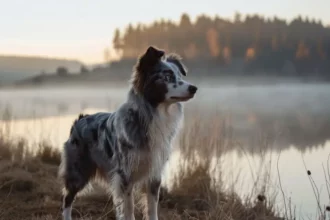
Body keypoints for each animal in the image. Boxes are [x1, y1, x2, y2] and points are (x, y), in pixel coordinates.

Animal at [58, 45, 199, 219]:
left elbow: (152, 208)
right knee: (67, 199)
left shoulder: (154, 173)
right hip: (78, 170)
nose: (194, 88)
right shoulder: (125, 175)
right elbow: (129, 207)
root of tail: (80, 119)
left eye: (179, 75)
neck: (153, 115)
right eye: (167, 77)